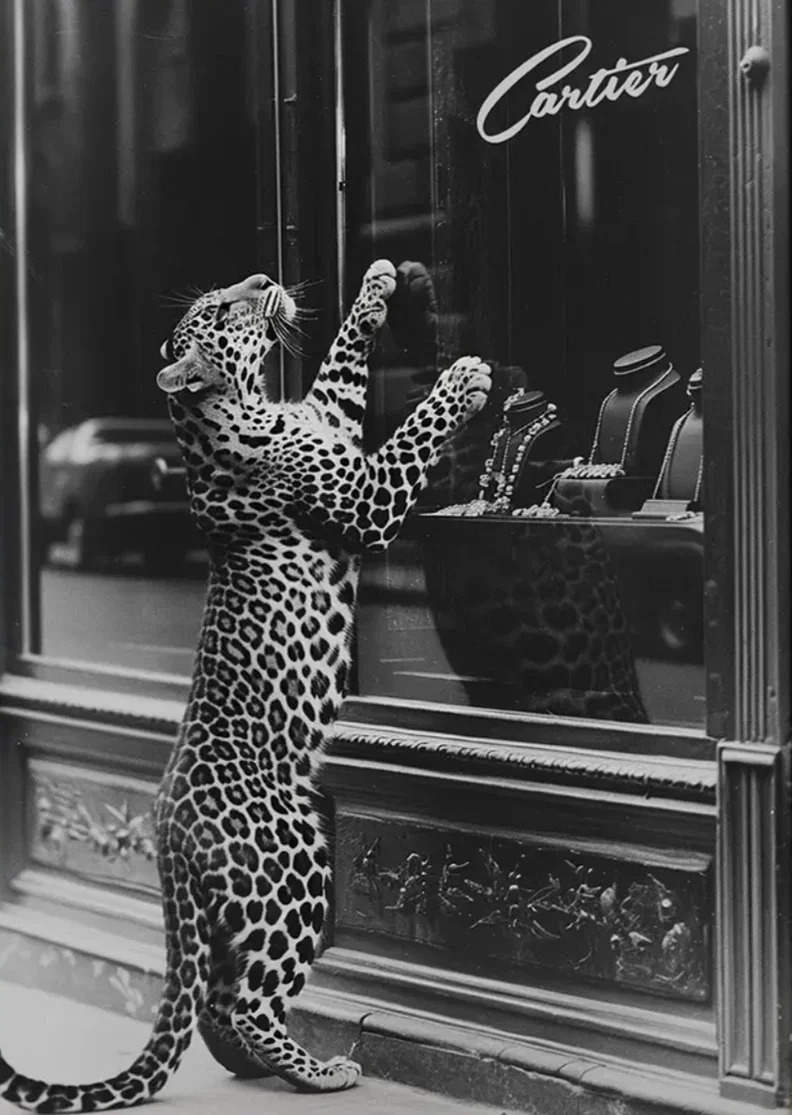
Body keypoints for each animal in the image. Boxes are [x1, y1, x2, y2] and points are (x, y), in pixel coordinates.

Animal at [0, 258, 491, 1112]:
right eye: (221, 310)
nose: (263, 277)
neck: (237, 413)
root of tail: (165, 826)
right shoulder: (367, 500)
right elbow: (411, 432)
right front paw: (462, 378)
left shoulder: (331, 416)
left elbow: (340, 365)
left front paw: (377, 285)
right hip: (296, 865)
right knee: (240, 999)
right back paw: (320, 1071)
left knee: (219, 1002)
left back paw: (270, 1067)